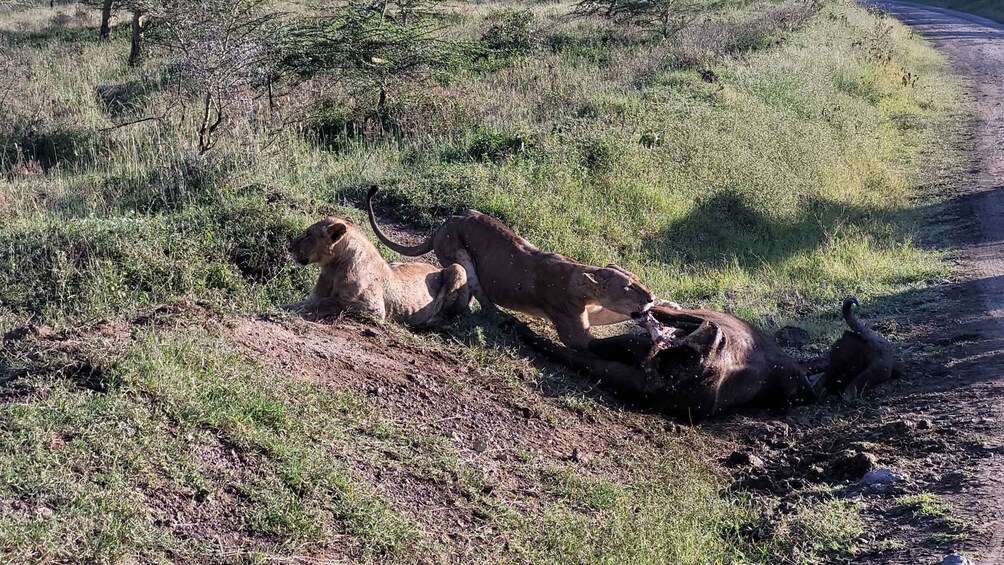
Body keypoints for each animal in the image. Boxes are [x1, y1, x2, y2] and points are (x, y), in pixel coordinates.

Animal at [285, 217, 467, 331]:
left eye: (308, 235)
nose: (290, 247)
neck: (332, 267)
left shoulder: (374, 309)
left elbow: (327, 302)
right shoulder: (315, 295)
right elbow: (304, 302)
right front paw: (284, 306)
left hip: (458, 268)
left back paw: (430, 321)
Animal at [365, 185, 662, 349]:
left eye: (637, 279)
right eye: (628, 286)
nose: (650, 296)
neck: (582, 276)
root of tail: (443, 224)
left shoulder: (598, 312)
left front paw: (660, 312)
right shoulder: (574, 332)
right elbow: (594, 342)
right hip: (460, 253)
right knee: (480, 298)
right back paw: (504, 318)